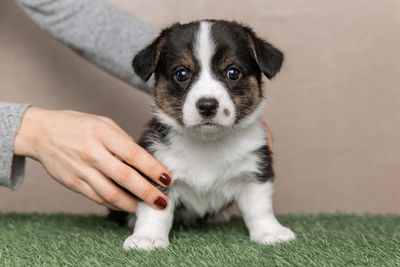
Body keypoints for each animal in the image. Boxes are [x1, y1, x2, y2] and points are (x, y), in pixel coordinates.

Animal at [119, 19, 294, 251]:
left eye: (233, 72)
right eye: (181, 74)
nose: (207, 105)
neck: (207, 142)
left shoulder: (255, 173)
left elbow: (260, 207)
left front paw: (270, 232)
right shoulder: (157, 172)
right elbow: (155, 210)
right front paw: (147, 237)